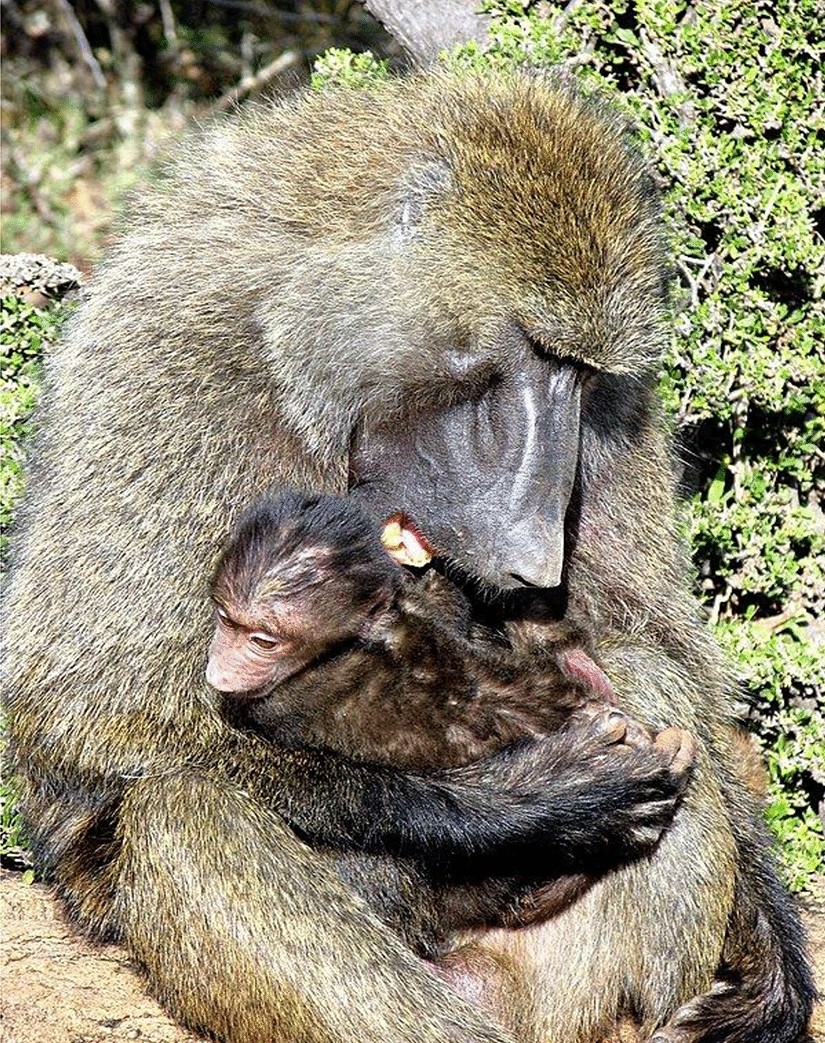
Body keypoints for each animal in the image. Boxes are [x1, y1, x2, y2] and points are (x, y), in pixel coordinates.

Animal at [1, 68, 813, 1043]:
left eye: (579, 374)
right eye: (525, 353)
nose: (534, 548)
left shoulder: (620, 413)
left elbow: (653, 638)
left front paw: (771, 960)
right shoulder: (175, 356)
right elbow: (91, 710)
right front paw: (521, 803)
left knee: (637, 667)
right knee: (187, 807)